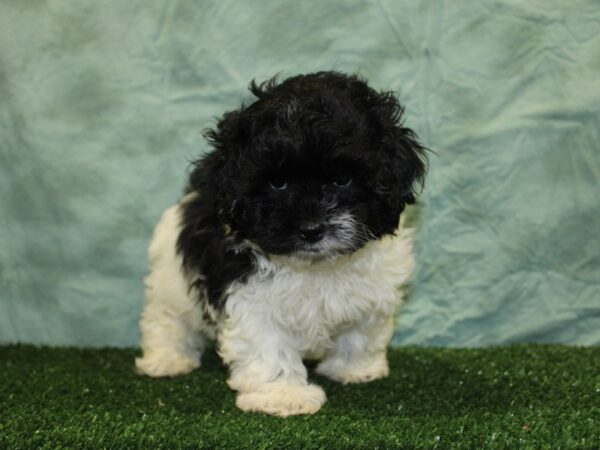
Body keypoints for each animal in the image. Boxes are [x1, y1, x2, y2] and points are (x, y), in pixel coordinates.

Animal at [136, 71, 426, 418]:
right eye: (278, 183)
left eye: (342, 180)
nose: (311, 230)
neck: (316, 267)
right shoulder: (249, 295)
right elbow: (267, 344)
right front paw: (282, 394)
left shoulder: (374, 290)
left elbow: (362, 331)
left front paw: (355, 369)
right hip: (170, 278)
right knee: (165, 317)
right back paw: (167, 359)